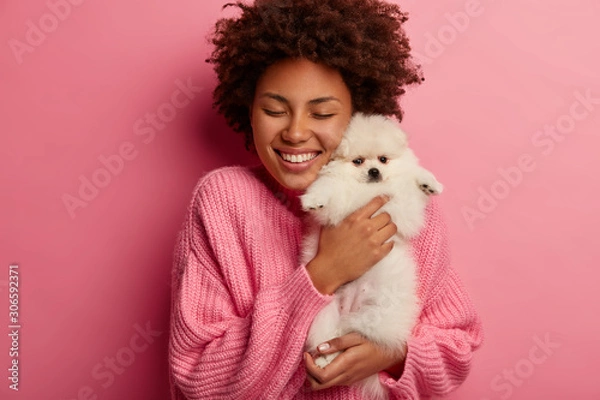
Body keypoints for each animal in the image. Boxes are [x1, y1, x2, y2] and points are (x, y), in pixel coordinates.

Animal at [302, 111, 442, 398]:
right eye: (358, 161)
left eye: (383, 159)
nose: (374, 171)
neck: (366, 191)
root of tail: (351, 313)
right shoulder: (338, 202)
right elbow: (327, 188)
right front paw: (313, 200)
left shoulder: (403, 209)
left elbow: (411, 182)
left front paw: (428, 183)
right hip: (324, 316)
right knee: (328, 340)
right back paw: (325, 359)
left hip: (378, 313)